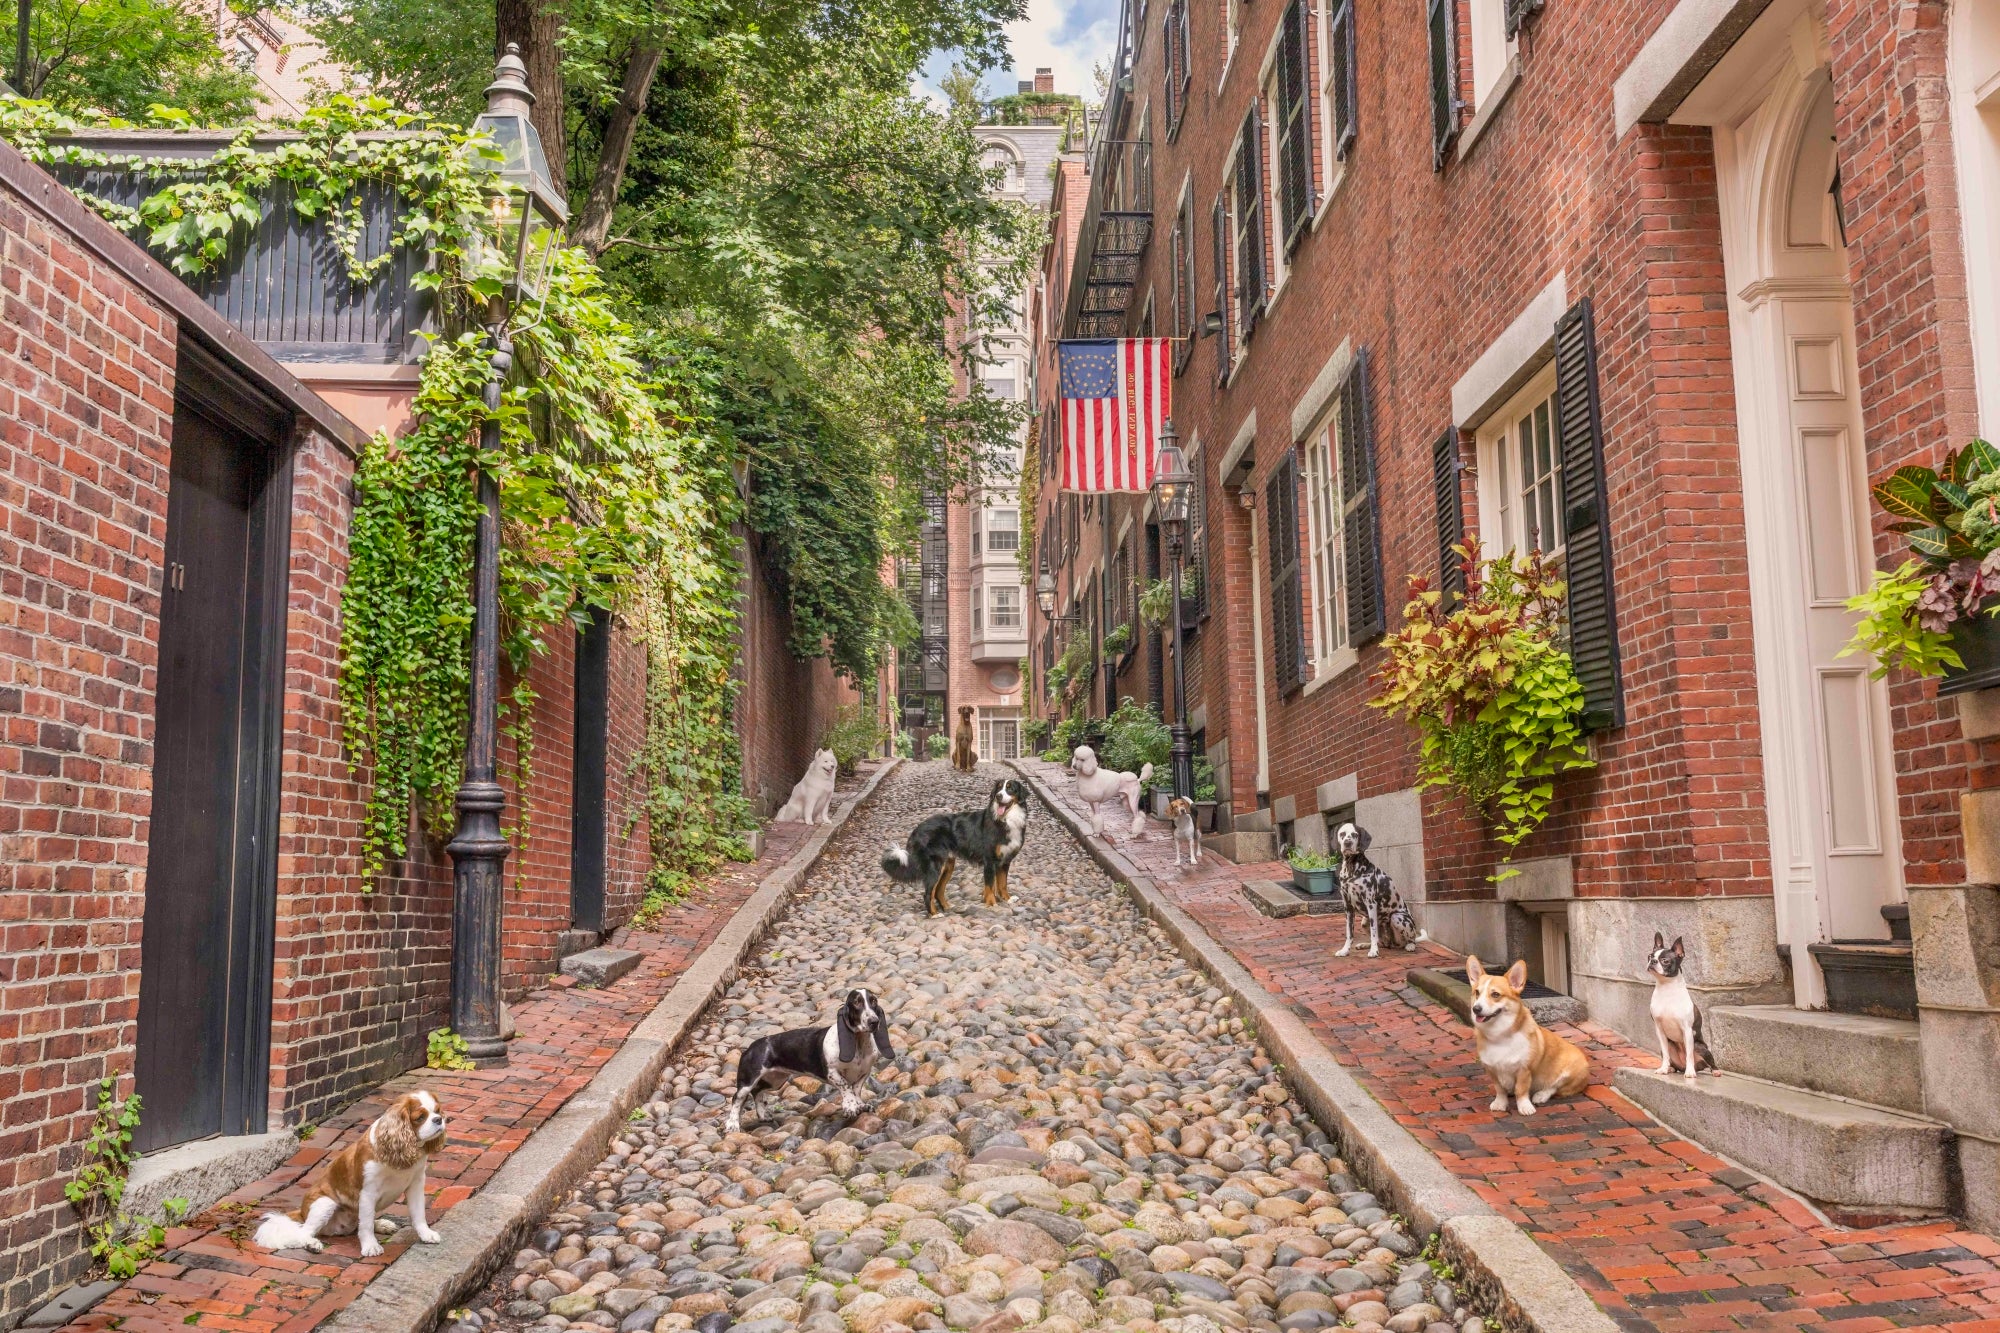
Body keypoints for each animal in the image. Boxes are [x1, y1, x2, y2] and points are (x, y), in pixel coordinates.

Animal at [880, 772, 1032, 908]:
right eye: (999, 788)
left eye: (1010, 788)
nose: (998, 796)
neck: (1006, 820)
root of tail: (917, 828)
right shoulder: (990, 861)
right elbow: (990, 885)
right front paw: (991, 903)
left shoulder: (1005, 860)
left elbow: (1002, 883)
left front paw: (1007, 899)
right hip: (935, 865)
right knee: (928, 893)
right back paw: (935, 914)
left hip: (948, 865)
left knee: (938, 891)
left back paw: (947, 907)